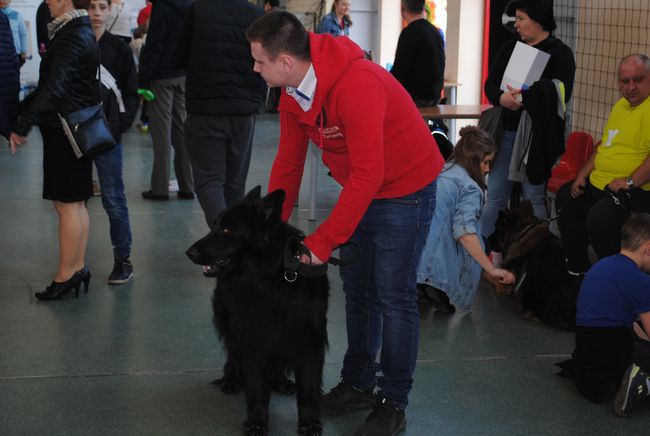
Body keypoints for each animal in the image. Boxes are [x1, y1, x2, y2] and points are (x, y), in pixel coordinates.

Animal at [186, 186, 330, 436]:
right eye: (214, 225)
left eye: (226, 229)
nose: (189, 252)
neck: (272, 280)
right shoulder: (253, 338)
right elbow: (256, 388)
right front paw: (256, 422)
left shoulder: (308, 341)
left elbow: (309, 388)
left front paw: (309, 422)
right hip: (232, 324)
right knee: (233, 353)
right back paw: (231, 380)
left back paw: (279, 381)